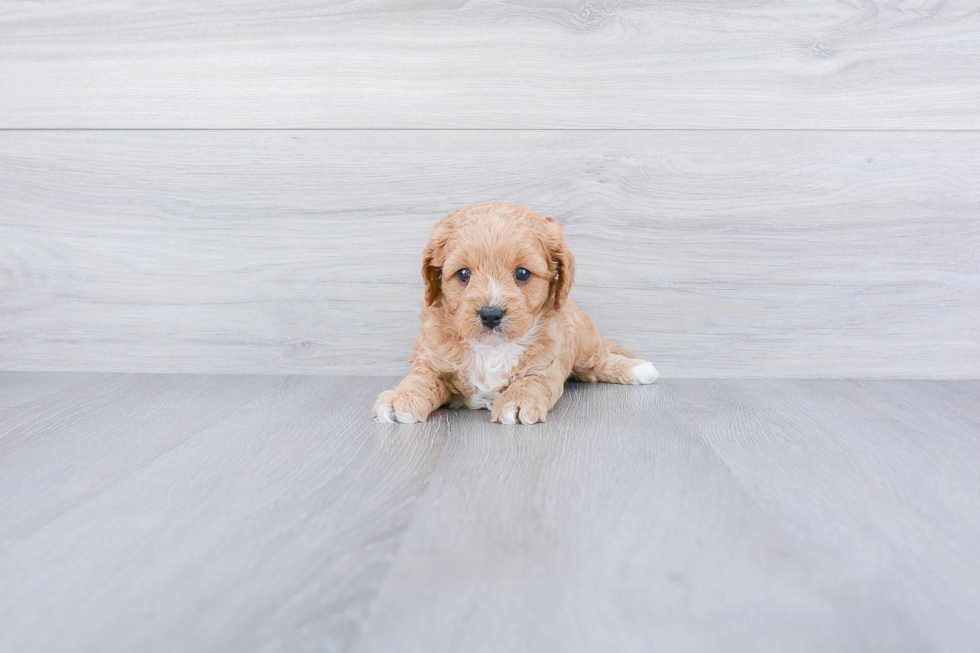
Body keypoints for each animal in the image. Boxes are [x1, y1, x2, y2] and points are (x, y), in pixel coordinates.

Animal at [374, 201, 660, 426]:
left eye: (522, 273)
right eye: (463, 274)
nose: (490, 314)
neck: (492, 348)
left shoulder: (545, 367)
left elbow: (530, 383)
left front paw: (518, 402)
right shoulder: (430, 360)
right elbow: (420, 380)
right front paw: (400, 399)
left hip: (586, 344)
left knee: (600, 361)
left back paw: (639, 369)